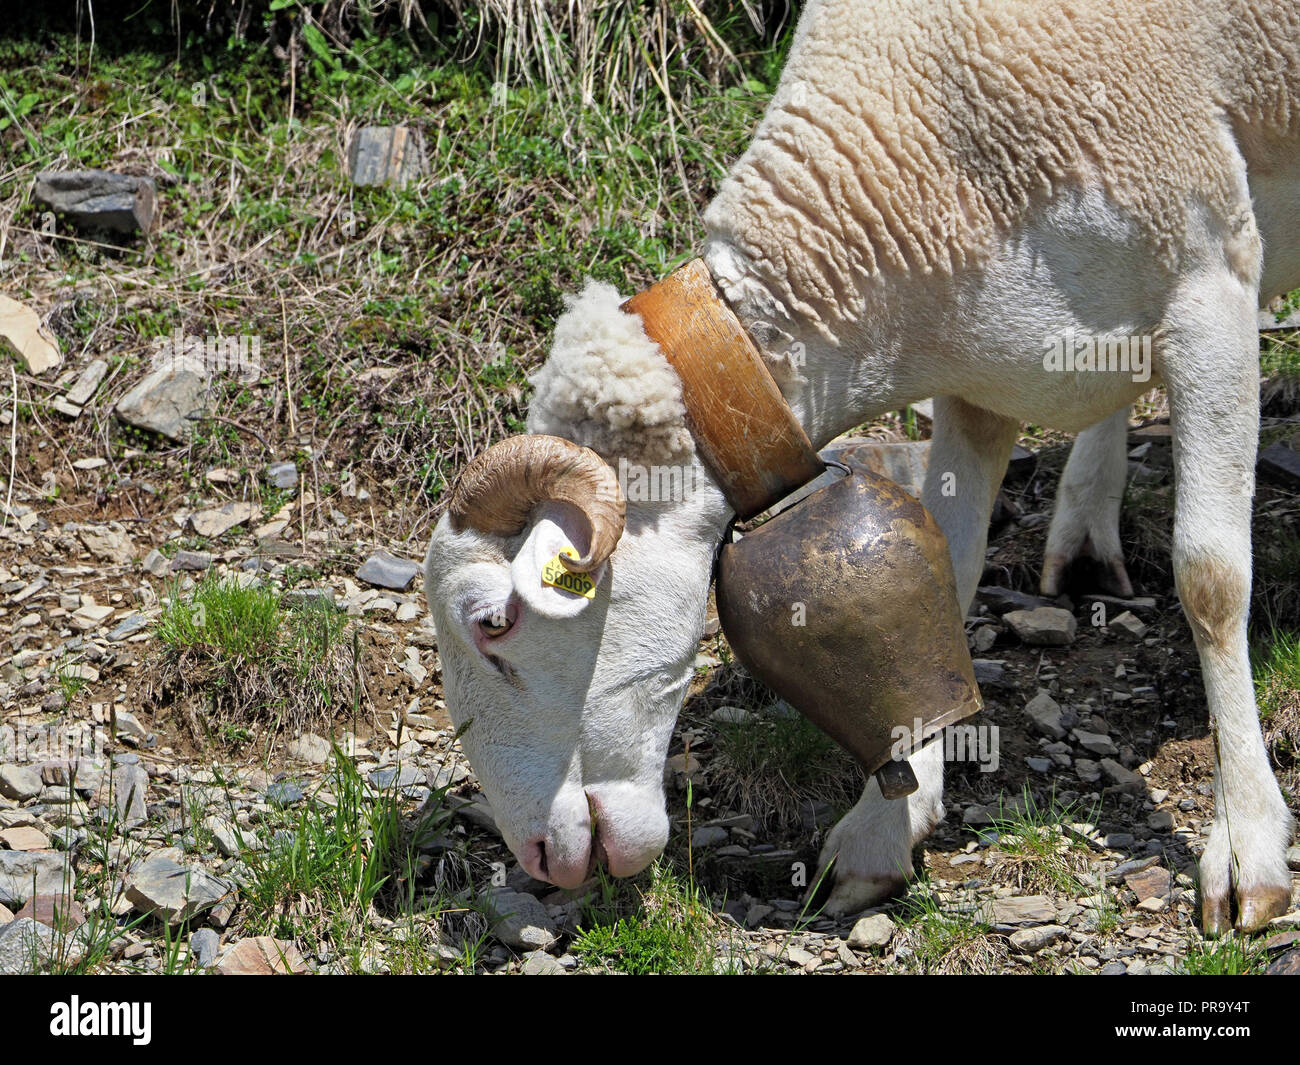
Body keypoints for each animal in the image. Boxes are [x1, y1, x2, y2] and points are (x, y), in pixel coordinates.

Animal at [428, 0, 1300, 931]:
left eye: (492, 623)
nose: (538, 857)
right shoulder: (984, 374)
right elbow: (944, 575)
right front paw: (885, 828)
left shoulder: (1209, 285)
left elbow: (1211, 579)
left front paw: (1246, 846)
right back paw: (1087, 524)